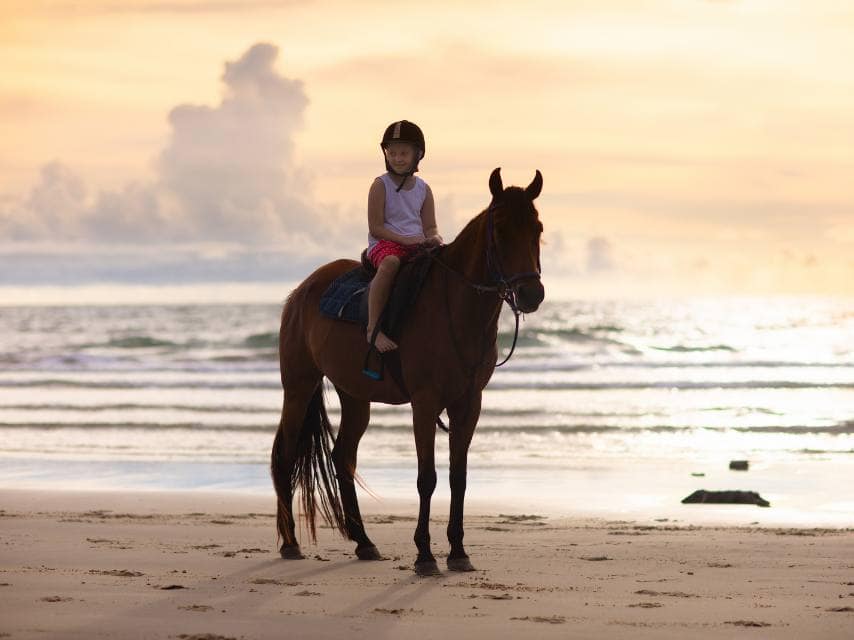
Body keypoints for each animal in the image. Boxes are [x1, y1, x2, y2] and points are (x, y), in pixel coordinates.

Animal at [271, 168, 545, 575]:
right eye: (499, 229)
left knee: (342, 459)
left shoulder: (468, 404)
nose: (531, 294)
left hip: (355, 396)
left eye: (537, 228)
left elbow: (458, 477)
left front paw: (458, 552)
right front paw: (425, 555)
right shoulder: (425, 403)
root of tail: (301, 292)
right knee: (287, 455)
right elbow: (427, 478)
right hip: (299, 386)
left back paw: (364, 542)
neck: (455, 307)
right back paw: (290, 543)